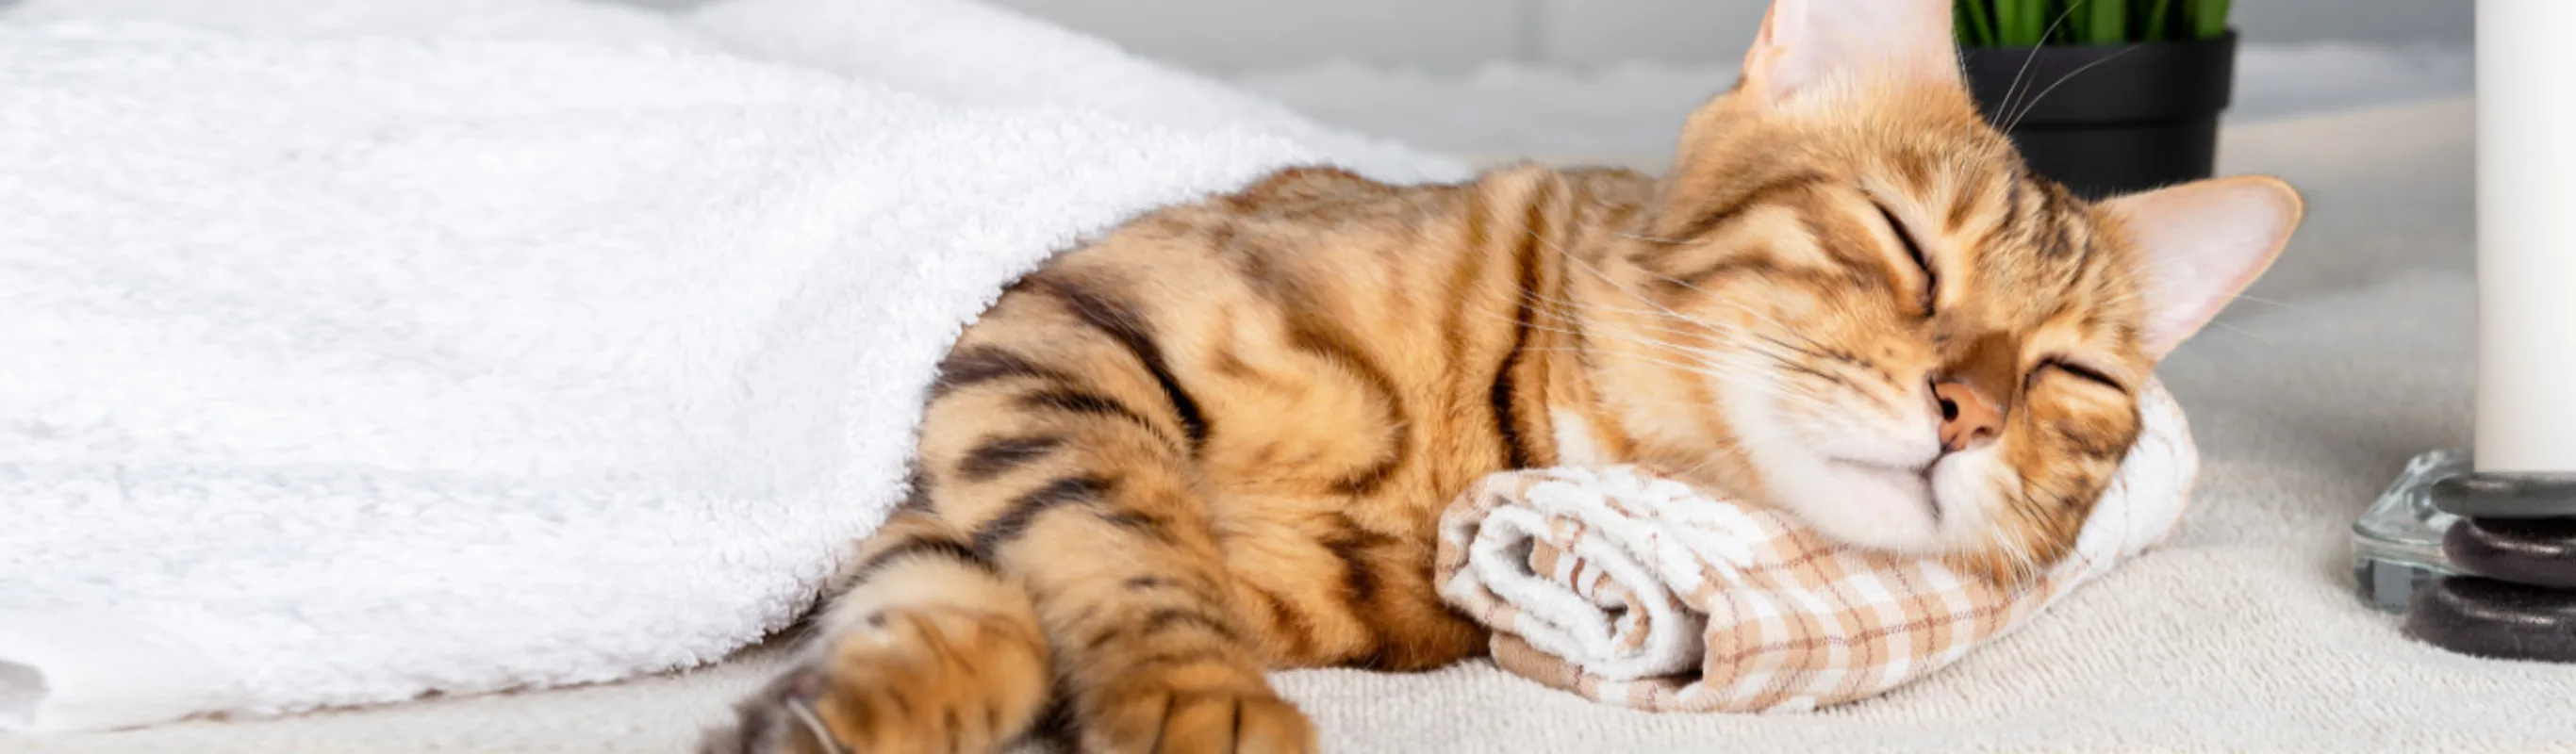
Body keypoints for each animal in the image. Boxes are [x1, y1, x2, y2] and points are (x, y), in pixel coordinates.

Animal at [701, 0, 2297, 746]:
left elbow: (995, 592)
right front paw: (1186, 692)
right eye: (1905, 242)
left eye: (2075, 380)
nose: (1970, 410)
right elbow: (1099, 554)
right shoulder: (1057, 333)